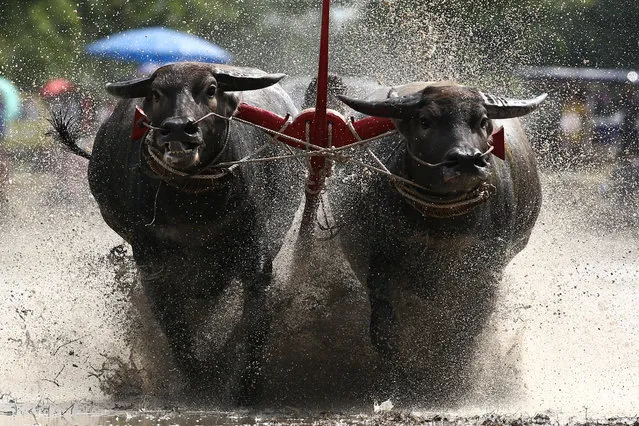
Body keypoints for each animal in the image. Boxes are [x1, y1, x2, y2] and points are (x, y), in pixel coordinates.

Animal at [75, 61, 302, 404]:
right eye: (156, 93)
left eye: (211, 89)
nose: (179, 128)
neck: (194, 203)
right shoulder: (151, 260)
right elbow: (175, 327)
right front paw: (199, 376)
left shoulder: (254, 250)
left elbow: (255, 321)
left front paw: (246, 385)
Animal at [332, 80, 548, 406]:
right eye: (425, 121)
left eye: (482, 120)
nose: (467, 160)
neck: (443, 224)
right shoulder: (382, 261)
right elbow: (384, 330)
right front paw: (400, 382)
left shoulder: (487, 270)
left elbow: (467, 329)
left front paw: (451, 381)